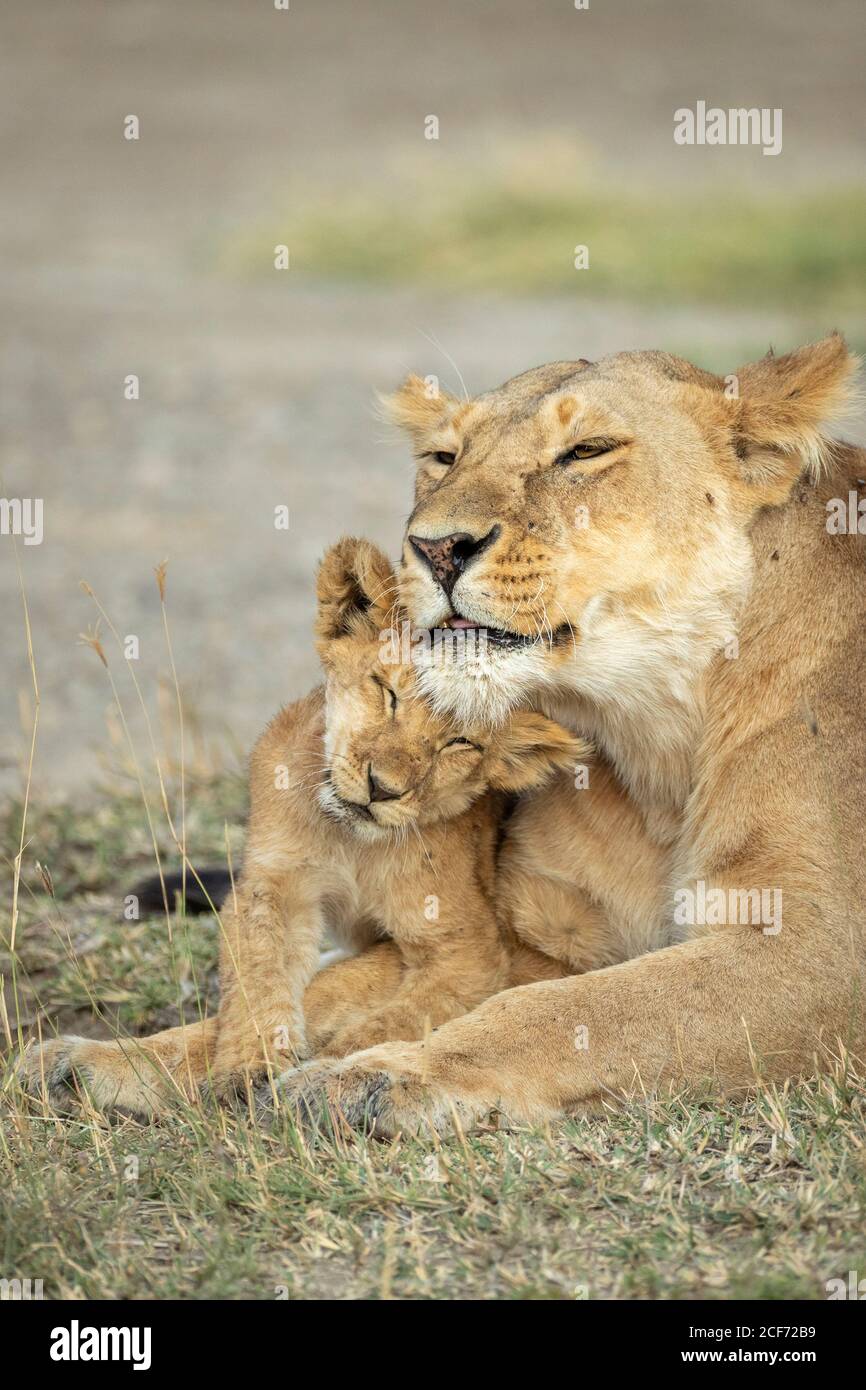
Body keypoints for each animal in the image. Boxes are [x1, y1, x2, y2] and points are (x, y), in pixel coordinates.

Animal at [19, 537, 585, 1115]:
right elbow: (258, 973)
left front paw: (333, 1074)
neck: (353, 844)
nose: (382, 788)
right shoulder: (274, 884)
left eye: (460, 742)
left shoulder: (467, 947)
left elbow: (396, 1019)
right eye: (388, 691)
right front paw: (248, 1067)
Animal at [265, 334, 866, 1138]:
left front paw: (378, 1076)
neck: (661, 743)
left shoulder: (824, 951)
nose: (435, 548)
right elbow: (340, 983)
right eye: (443, 456)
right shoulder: (539, 929)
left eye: (587, 450)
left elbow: (565, 1012)